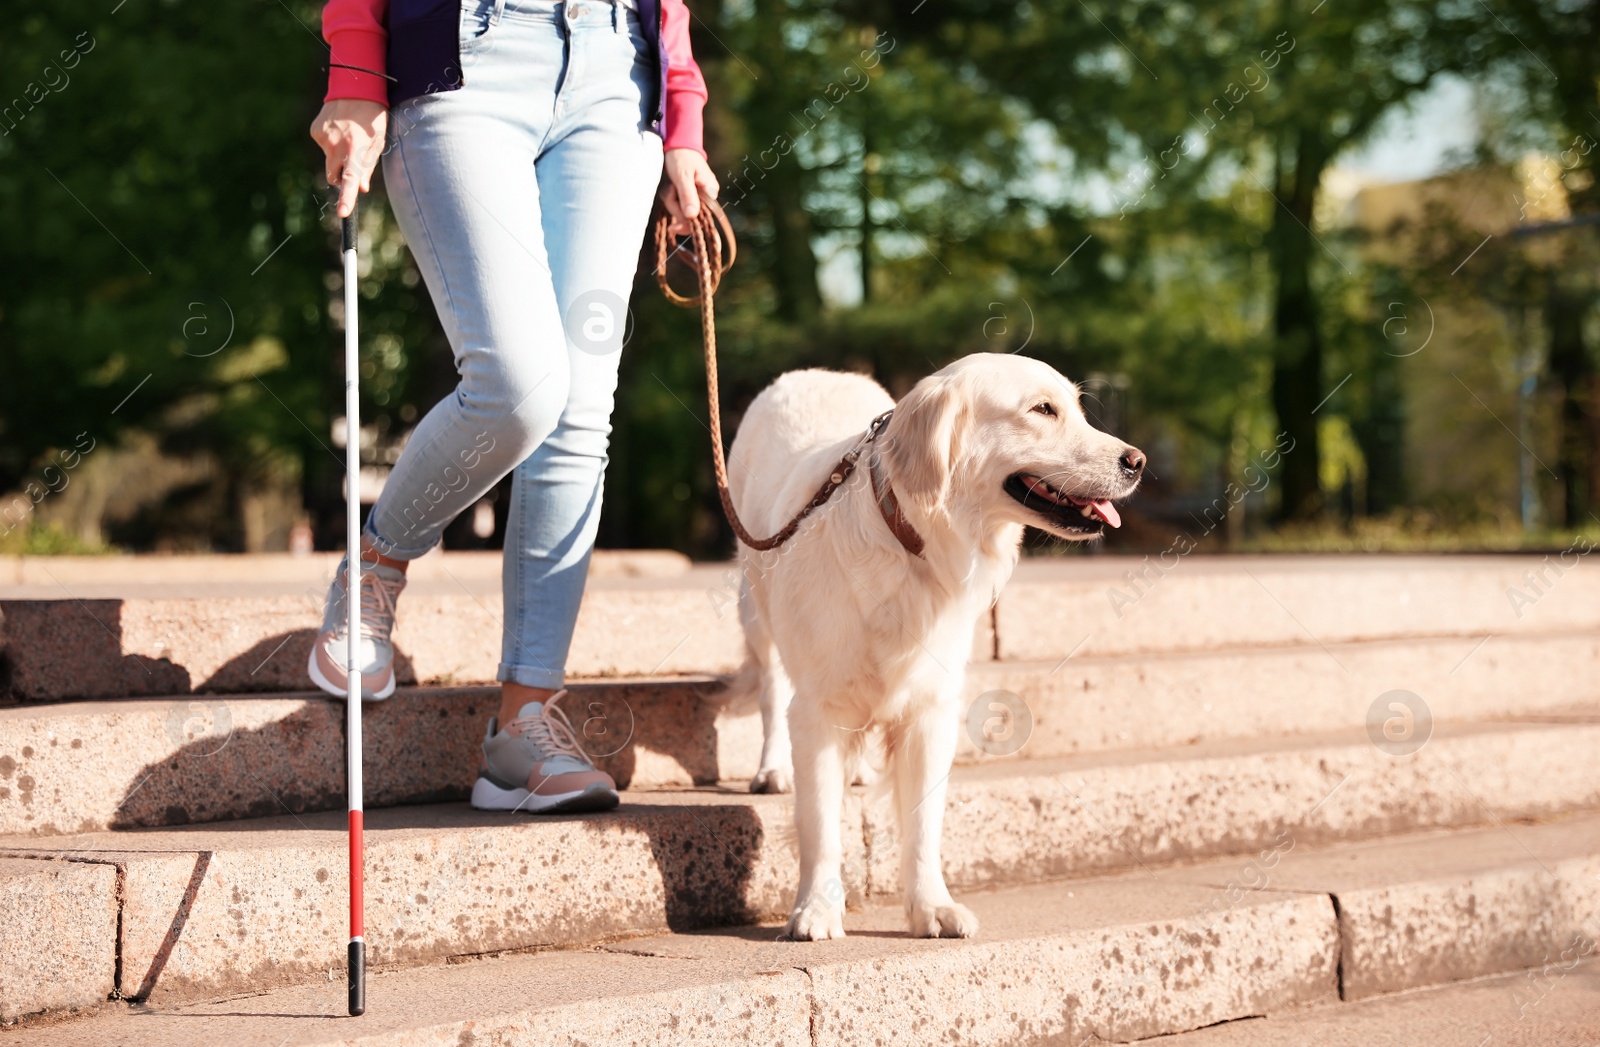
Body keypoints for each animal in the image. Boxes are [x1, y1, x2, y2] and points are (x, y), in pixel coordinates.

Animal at [732, 352, 1145, 941]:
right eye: (1043, 410)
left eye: (1078, 408)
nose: (1138, 461)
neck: (915, 545)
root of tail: (813, 372)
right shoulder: (816, 710)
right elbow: (819, 823)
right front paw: (815, 910)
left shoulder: (931, 709)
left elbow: (923, 825)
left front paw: (932, 907)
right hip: (754, 606)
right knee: (771, 689)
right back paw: (773, 770)